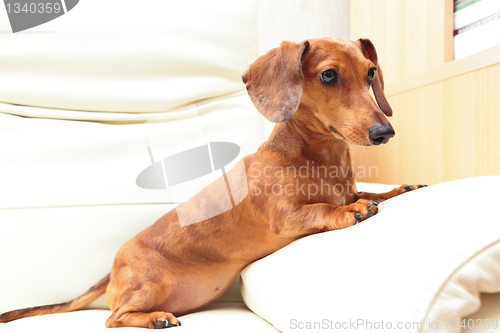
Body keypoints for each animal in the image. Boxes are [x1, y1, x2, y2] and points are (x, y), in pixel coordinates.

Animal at [0, 37, 424, 328]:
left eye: (370, 73)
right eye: (329, 75)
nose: (384, 132)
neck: (315, 157)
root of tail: (114, 266)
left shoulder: (346, 187)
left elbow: (365, 191)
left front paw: (398, 190)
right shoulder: (285, 217)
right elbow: (323, 208)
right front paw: (352, 211)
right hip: (149, 285)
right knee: (112, 318)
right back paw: (154, 318)